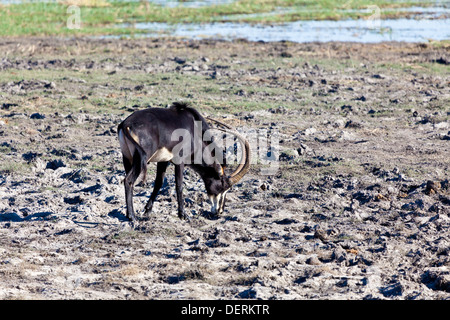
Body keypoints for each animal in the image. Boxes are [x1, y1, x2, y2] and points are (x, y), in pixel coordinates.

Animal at [118, 101, 251, 221]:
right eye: (223, 186)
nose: (220, 211)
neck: (194, 132)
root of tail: (126, 124)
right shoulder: (179, 161)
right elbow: (179, 185)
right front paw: (183, 214)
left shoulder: (163, 161)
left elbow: (158, 183)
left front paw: (147, 210)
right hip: (140, 160)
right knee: (128, 180)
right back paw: (132, 216)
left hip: (127, 158)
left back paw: (128, 213)